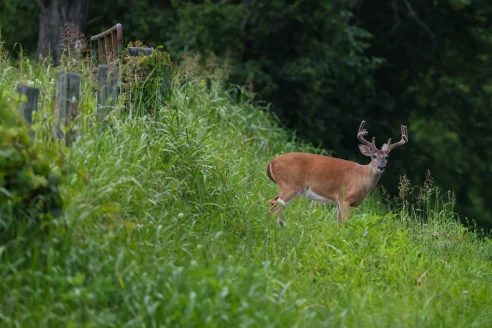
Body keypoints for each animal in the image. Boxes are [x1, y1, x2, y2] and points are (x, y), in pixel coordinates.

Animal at [266, 121, 408, 227]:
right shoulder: (345, 198)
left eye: (387, 157)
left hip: (290, 188)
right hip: (290, 185)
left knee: (271, 203)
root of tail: (271, 163)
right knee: (274, 210)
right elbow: (345, 223)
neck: (362, 178)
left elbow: (339, 224)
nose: (381, 166)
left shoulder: (339, 202)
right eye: (374, 156)